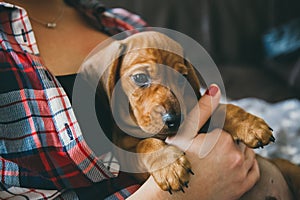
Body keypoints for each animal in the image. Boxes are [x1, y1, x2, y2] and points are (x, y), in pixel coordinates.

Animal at [80, 31, 300, 198]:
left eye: (182, 78)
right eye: (140, 78)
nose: (174, 120)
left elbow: (223, 109)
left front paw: (250, 125)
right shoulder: (127, 155)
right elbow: (146, 144)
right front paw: (170, 166)